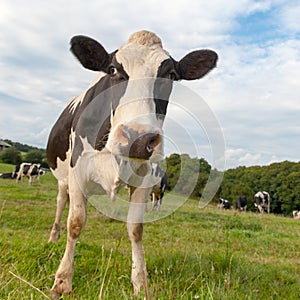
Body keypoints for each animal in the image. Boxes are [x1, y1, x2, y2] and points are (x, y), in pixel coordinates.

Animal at [45, 29, 217, 298]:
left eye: (171, 75)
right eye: (113, 69)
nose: (138, 138)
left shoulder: (144, 179)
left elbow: (136, 229)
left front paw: (140, 283)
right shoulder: (77, 172)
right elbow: (75, 222)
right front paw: (62, 280)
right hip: (63, 178)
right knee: (61, 203)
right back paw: (53, 237)